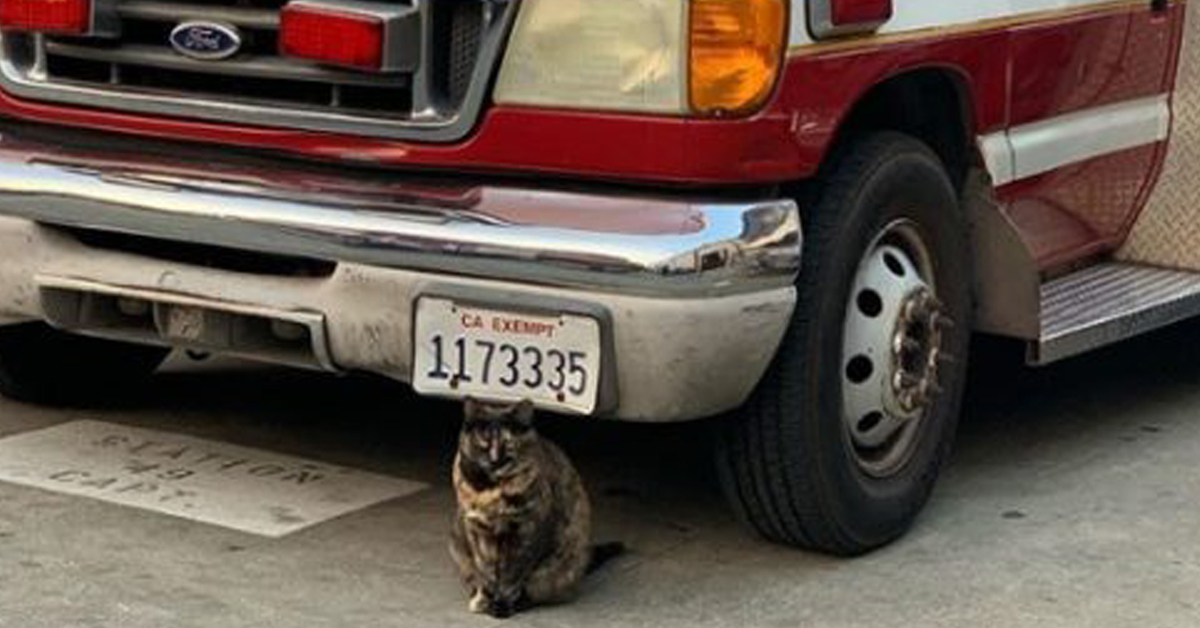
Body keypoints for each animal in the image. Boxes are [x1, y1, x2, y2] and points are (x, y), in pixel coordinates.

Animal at [448, 401, 619, 614]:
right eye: (484, 438)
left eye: (508, 442)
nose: (495, 459)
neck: (490, 491)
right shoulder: (478, 531)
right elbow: (486, 571)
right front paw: (485, 598)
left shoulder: (527, 530)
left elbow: (512, 574)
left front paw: (502, 605)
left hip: (557, 567)